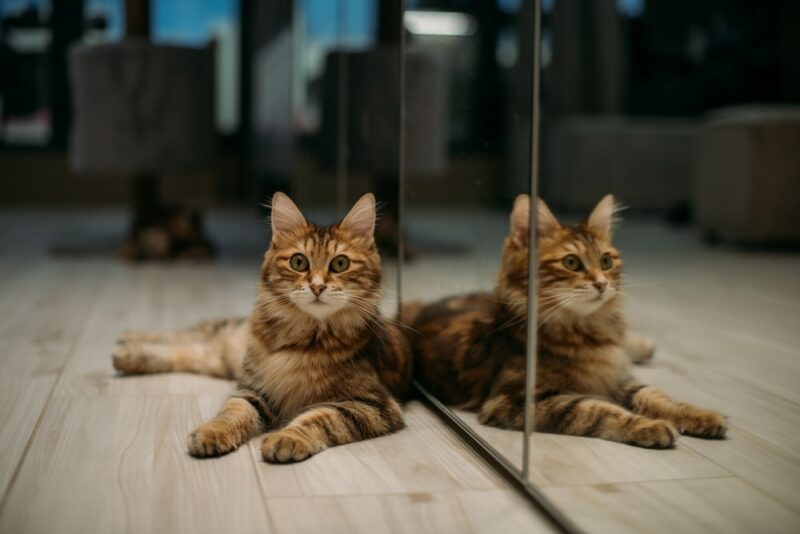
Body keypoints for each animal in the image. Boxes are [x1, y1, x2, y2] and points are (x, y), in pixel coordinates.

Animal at [114, 194, 412, 464]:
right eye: (299, 262)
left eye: (340, 264)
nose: (317, 286)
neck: (305, 338)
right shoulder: (253, 389)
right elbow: (233, 412)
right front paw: (212, 432)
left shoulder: (372, 404)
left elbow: (318, 417)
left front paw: (288, 438)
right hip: (232, 342)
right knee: (189, 332)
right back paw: (127, 342)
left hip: (222, 359)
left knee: (193, 347)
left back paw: (128, 355)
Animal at [410, 196, 728, 448]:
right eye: (571, 263)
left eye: (606, 261)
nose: (602, 284)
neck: (586, 330)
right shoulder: (517, 400)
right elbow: (597, 409)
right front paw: (647, 425)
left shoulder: (619, 378)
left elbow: (656, 396)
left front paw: (700, 415)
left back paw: (644, 345)